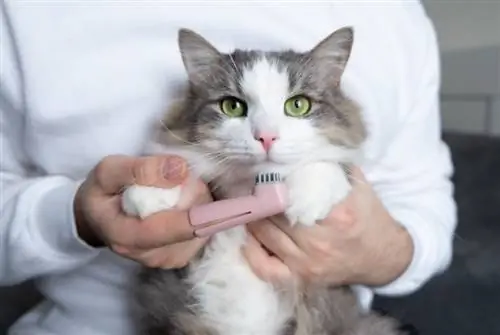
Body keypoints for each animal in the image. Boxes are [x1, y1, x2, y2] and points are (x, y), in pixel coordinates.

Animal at [123, 28, 404, 335]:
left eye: (298, 105)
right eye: (232, 106)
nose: (266, 137)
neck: (248, 187)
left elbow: (327, 165)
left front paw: (307, 199)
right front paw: (147, 193)